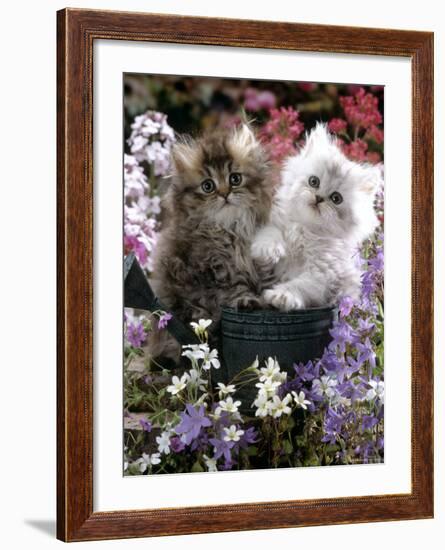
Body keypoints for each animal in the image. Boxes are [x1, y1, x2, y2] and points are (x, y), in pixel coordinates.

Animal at [150, 123, 270, 360]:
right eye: (208, 186)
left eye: (235, 179)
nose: (224, 194)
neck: (231, 229)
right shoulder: (216, 267)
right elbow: (236, 289)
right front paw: (248, 302)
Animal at [251, 125, 380, 312]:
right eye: (314, 181)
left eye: (336, 198)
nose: (318, 198)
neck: (306, 229)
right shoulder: (276, 231)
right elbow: (271, 233)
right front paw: (267, 250)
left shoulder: (322, 275)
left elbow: (299, 285)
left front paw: (280, 296)